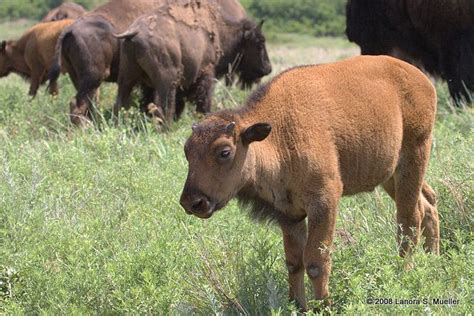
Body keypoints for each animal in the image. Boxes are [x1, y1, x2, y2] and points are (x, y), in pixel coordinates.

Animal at [112, 0, 272, 123]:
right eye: (259, 43)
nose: (268, 68)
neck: (221, 30)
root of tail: (135, 31)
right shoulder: (206, 72)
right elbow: (204, 99)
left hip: (126, 77)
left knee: (121, 102)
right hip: (167, 81)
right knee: (164, 106)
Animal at [179, 55, 440, 310]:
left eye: (224, 152)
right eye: (187, 151)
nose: (192, 202)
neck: (277, 136)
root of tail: (423, 80)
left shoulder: (324, 203)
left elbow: (316, 260)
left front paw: (323, 306)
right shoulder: (289, 214)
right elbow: (294, 262)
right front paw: (297, 306)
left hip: (414, 157)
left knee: (408, 222)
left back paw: (404, 274)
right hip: (390, 174)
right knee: (428, 204)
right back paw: (433, 260)